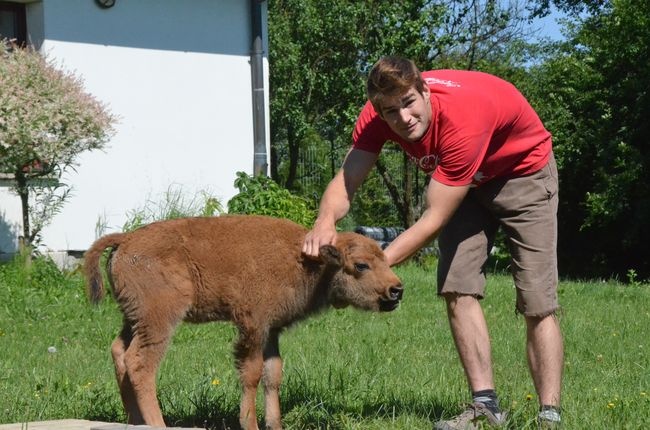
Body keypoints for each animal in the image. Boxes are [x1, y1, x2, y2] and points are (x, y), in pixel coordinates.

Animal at [83, 215, 402, 430]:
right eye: (361, 265)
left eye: (385, 260)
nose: (396, 290)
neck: (307, 263)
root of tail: (126, 239)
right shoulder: (253, 326)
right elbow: (251, 373)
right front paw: (250, 422)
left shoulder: (271, 330)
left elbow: (273, 374)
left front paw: (275, 424)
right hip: (160, 319)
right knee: (139, 363)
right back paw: (157, 423)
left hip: (134, 318)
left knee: (119, 352)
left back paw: (134, 421)